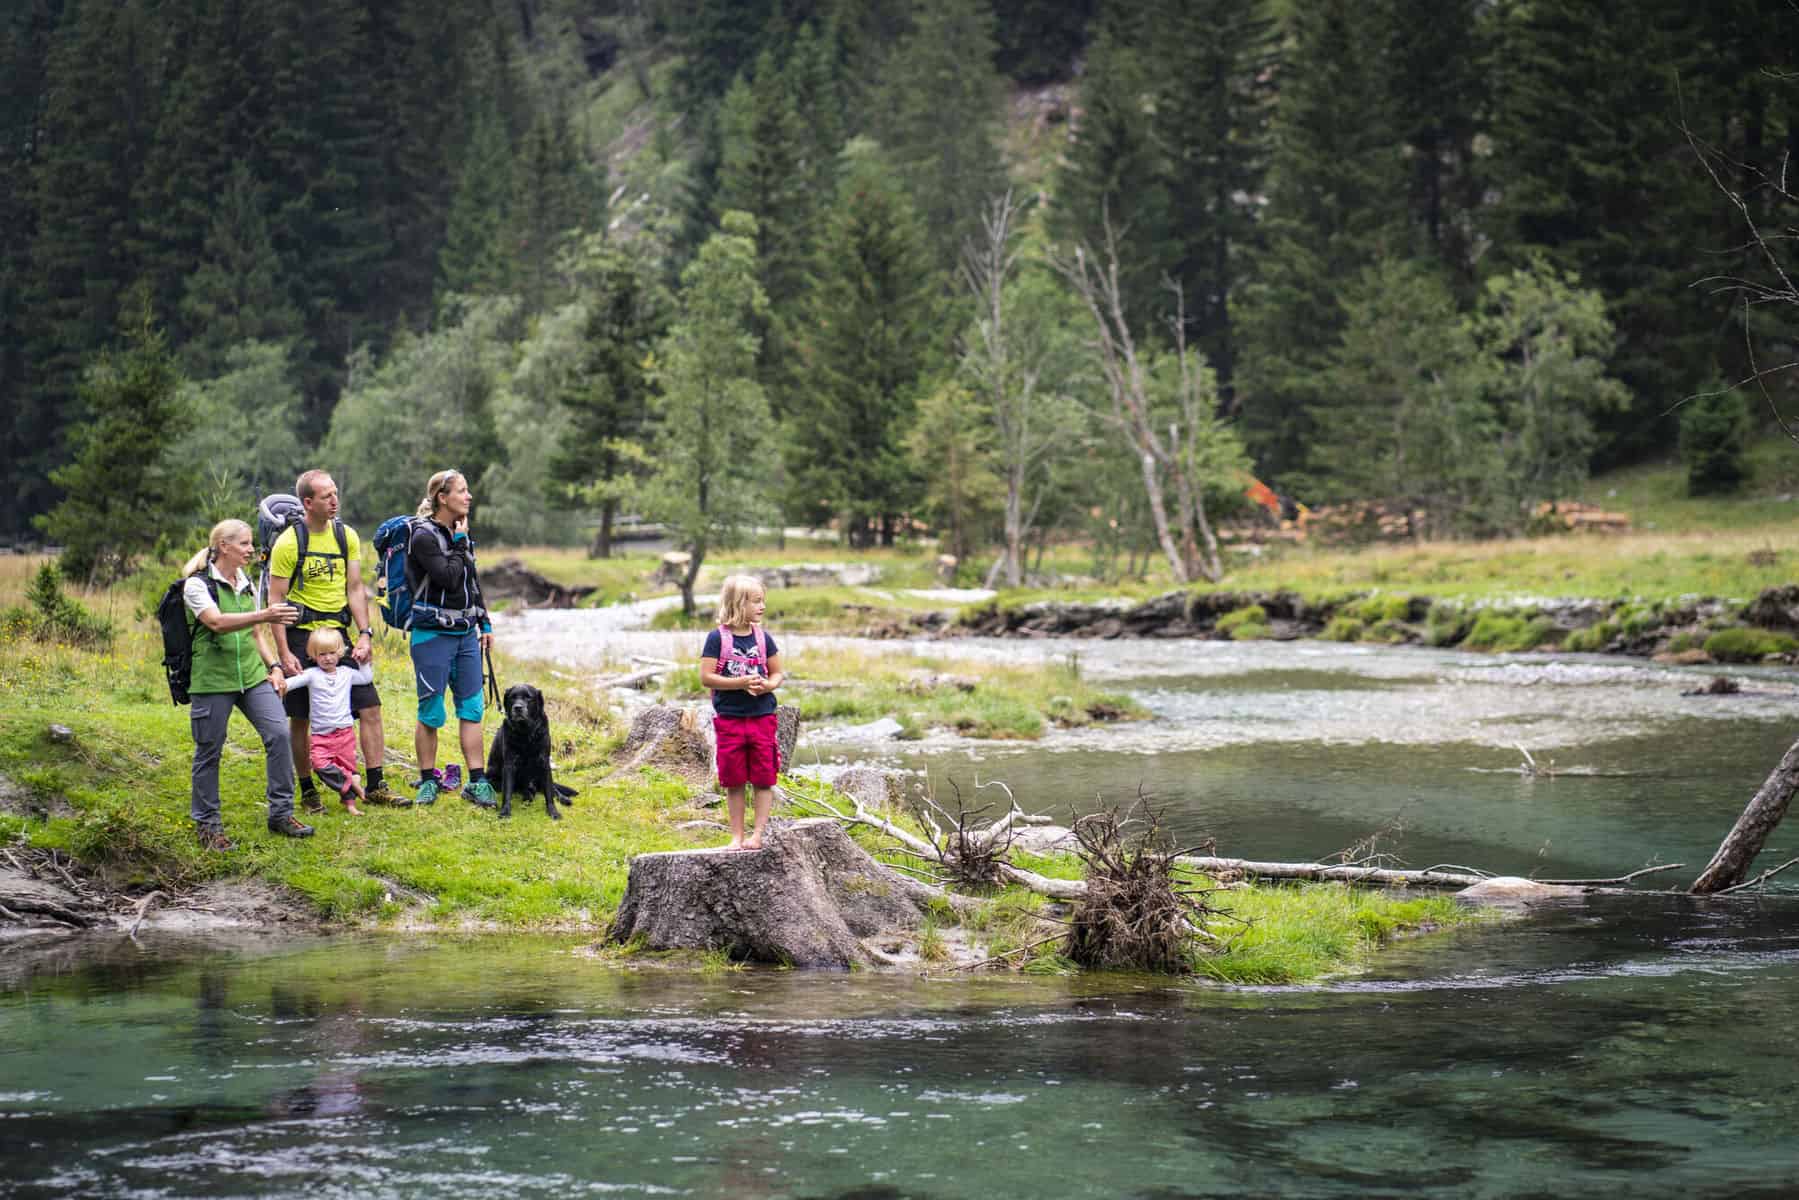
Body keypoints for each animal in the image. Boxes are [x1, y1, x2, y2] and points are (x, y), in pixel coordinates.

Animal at [492, 680, 575, 820]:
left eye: (528, 697)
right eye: (512, 697)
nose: (518, 707)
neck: (526, 732)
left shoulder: (544, 762)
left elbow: (549, 792)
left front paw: (553, 811)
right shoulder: (509, 764)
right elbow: (507, 791)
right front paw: (505, 811)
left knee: (552, 788)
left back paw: (563, 798)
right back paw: (528, 795)